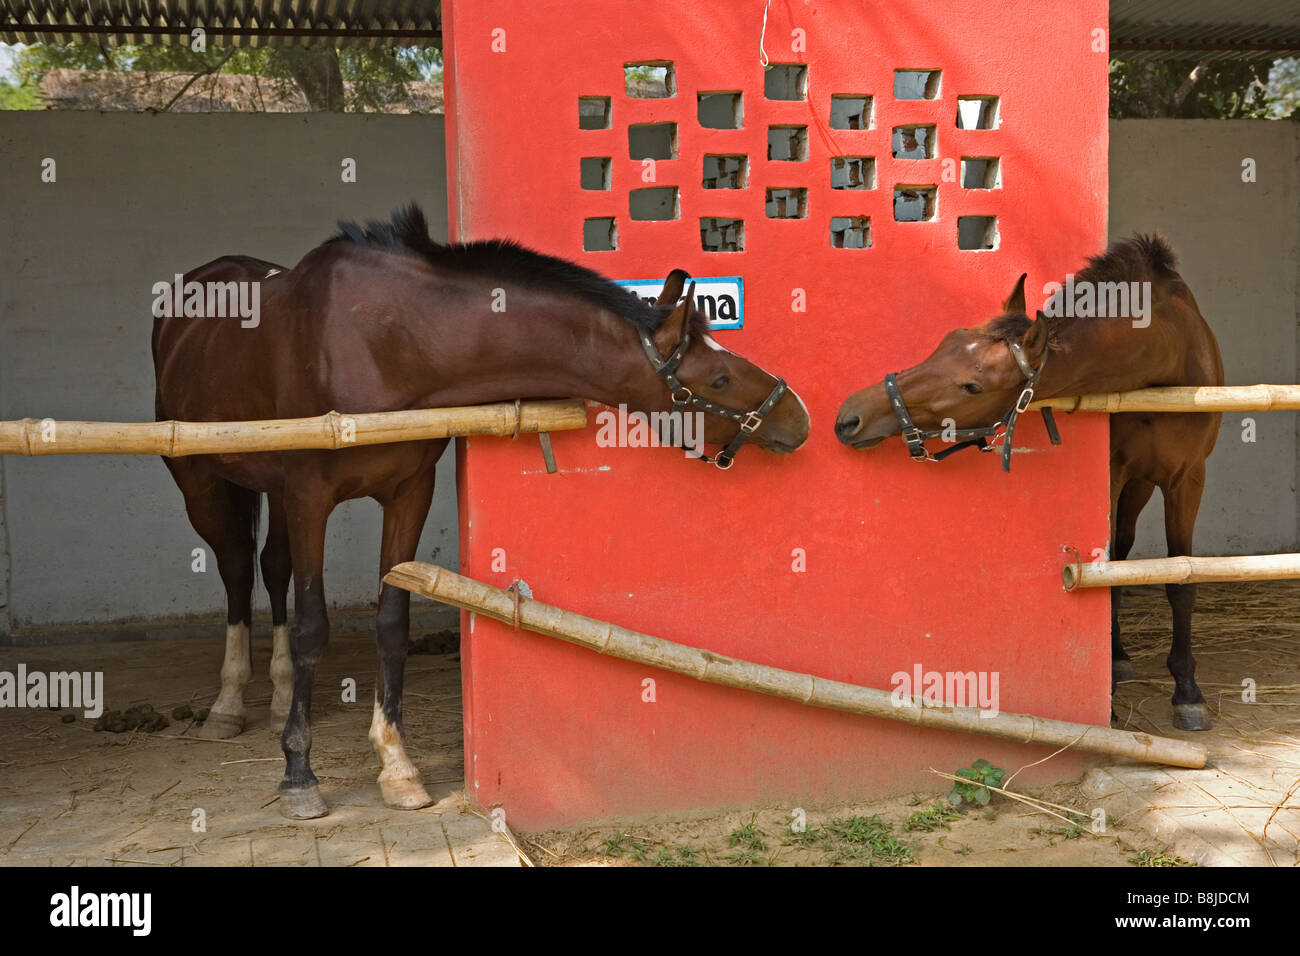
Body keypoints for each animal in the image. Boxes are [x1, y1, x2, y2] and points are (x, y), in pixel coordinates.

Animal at [153, 205, 810, 818]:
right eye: (719, 378)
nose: (796, 417)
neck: (381, 339)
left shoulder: (408, 491)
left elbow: (392, 624)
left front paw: (397, 766)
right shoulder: (310, 494)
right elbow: (316, 626)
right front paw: (298, 773)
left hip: (271, 489)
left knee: (271, 566)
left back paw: (277, 693)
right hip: (202, 483)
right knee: (237, 568)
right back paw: (228, 703)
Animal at [833, 236, 1223, 731]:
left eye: (972, 387)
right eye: (945, 342)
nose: (851, 415)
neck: (1168, 353)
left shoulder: (1189, 477)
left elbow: (1182, 580)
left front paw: (1188, 691)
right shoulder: (1113, 469)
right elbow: (1113, 564)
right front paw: (1112, 692)